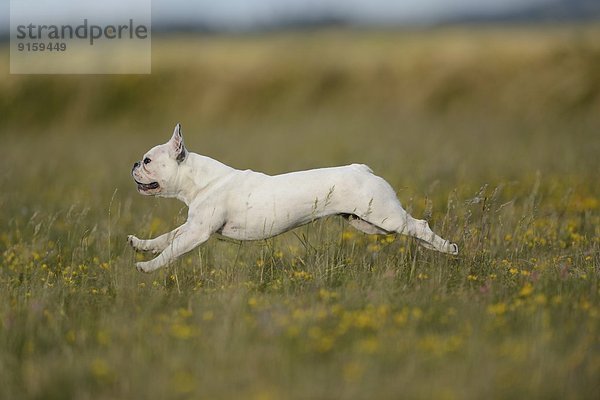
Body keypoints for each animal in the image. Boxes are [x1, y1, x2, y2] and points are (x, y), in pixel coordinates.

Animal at [129, 124, 458, 272]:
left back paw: (447, 248)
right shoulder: (191, 226)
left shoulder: (197, 232)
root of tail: (362, 169)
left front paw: (148, 267)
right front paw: (142, 246)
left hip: (383, 216)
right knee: (412, 230)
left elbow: (172, 250)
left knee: (419, 226)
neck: (199, 180)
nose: (133, 164)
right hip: (367, 223)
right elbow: (166, 237)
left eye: (147, 160)